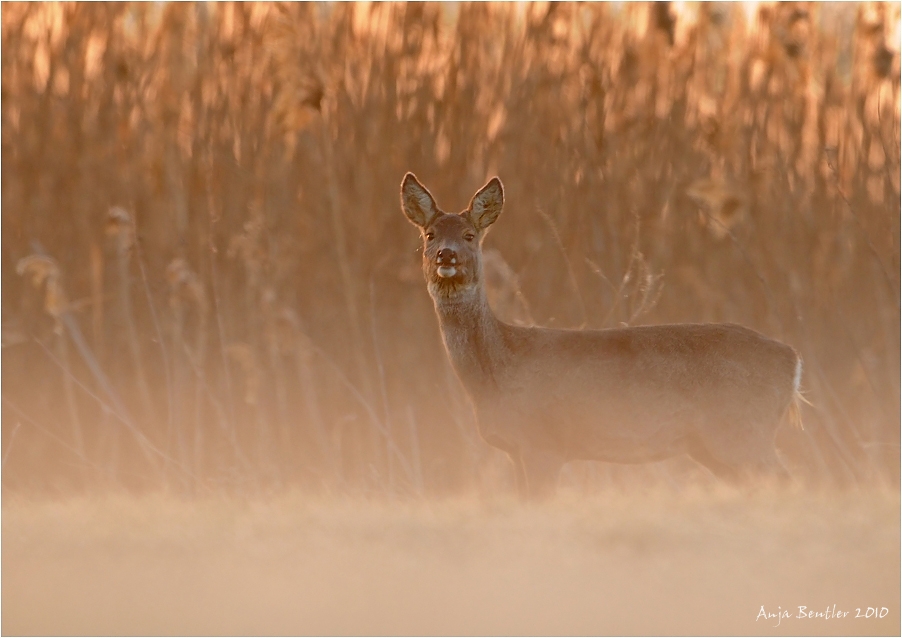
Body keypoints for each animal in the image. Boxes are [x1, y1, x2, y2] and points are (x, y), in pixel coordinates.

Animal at [402, 175, 804, 500]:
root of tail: (793, 360)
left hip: (742, 432)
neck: (499, 366)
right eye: (429, 234)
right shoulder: (518, 451)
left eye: (470, 235)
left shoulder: (543, 443)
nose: (446, 255)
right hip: (718, 445)